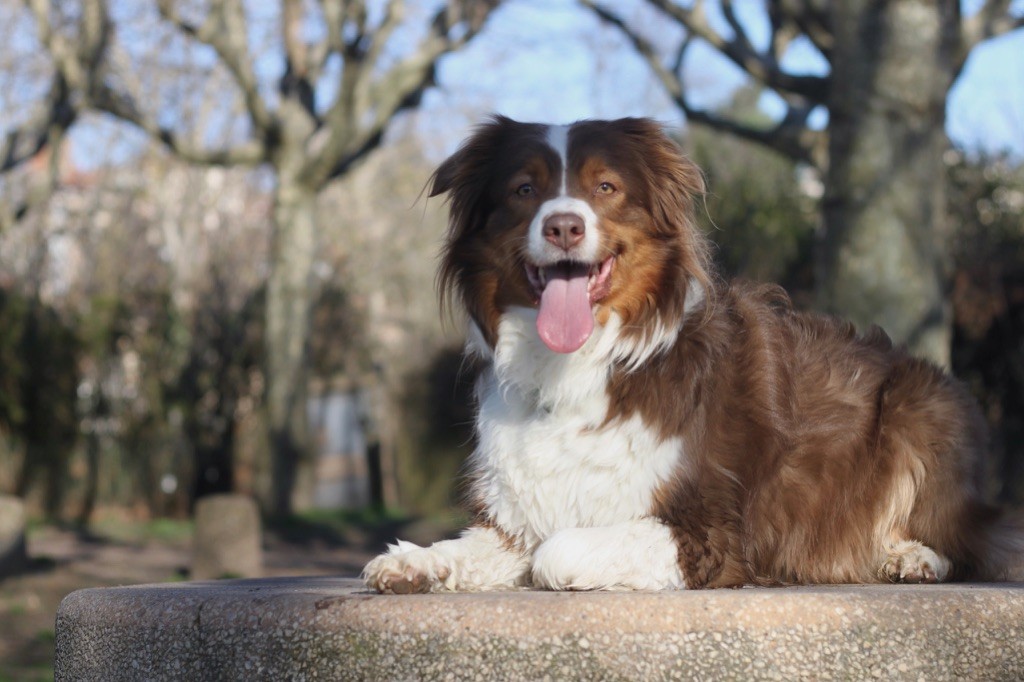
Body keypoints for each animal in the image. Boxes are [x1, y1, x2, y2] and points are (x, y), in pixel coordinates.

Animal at [364, 115, 1019, 589]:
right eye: (524, 190)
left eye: (606, 187)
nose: (564, 226)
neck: (577, 370)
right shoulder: (514, 517)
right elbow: (486, 546)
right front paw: (413, 560)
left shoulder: (712, 533)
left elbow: (557, 551)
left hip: (923, 404)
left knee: (965, 544)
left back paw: (910, 557)